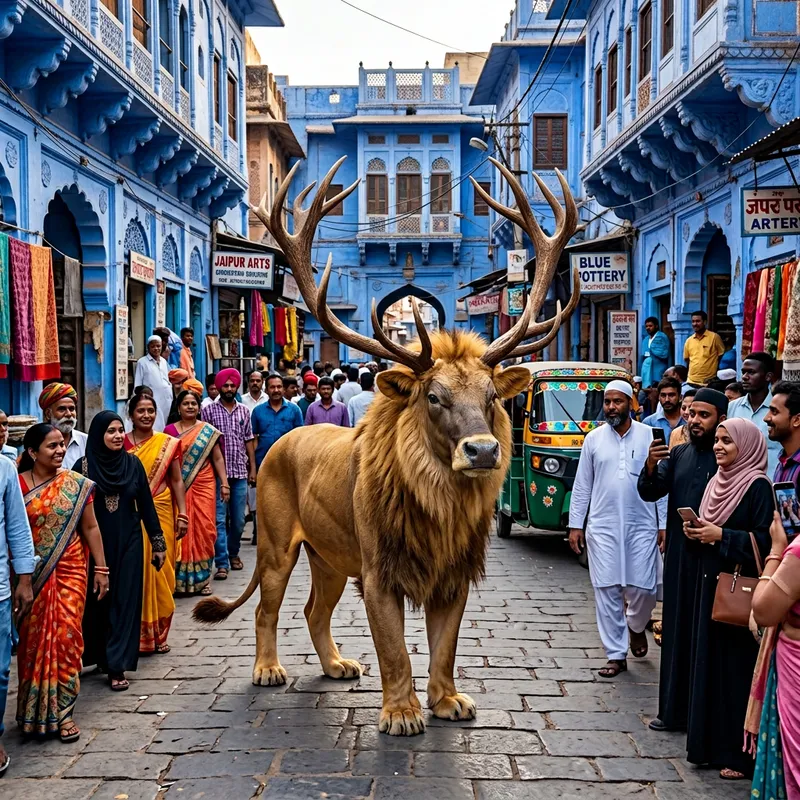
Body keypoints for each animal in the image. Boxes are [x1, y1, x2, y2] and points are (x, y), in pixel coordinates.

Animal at [194, 156, 580, 736]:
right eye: (434, 397)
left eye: (491, 395)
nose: (483, 451)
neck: (438, 505)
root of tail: (282, 443)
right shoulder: (378, 573)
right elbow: (394, 649)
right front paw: (401, 712)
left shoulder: (454, 575)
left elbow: (445, 647)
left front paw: (447, 701)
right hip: (278, 546)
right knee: (268, 608)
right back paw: (268, 669)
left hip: (329, 557)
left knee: (314, 610)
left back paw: (335, 665)